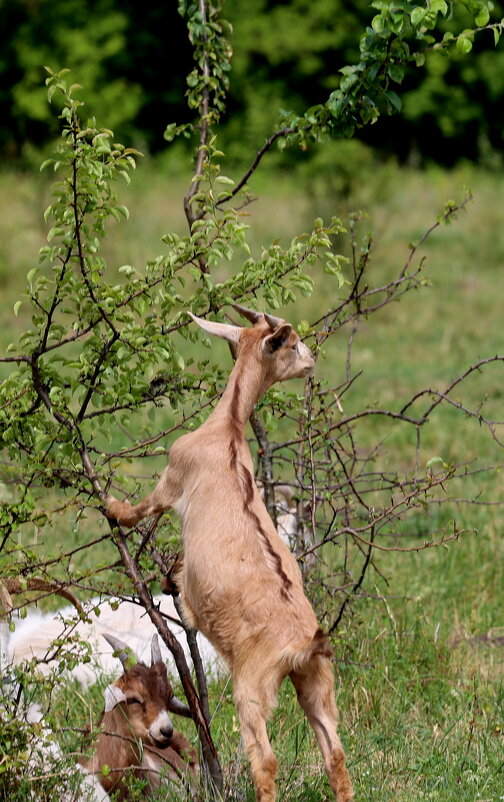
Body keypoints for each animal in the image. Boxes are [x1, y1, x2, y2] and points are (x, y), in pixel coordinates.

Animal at [109, 306, 354, 800]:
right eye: (293, 343)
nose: (312, 361)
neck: (228, 430)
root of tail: (305, 644)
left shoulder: (172, 478)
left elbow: (143, 508)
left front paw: (111, 508)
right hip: (318, 683)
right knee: (335, 754)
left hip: (251, 690)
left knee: (266, 759)